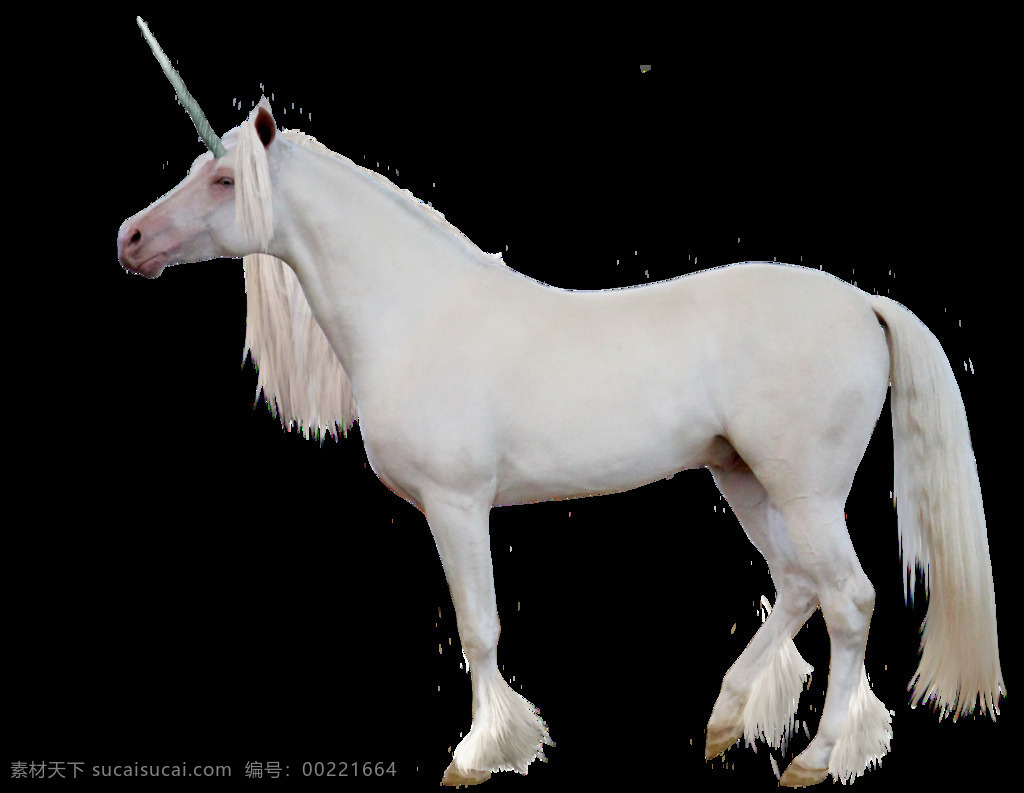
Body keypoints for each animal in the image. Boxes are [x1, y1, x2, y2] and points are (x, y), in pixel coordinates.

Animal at [117, 20, 1004, 786]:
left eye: (224, 180)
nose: (131, 240)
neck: (417, 312)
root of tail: (863, 304)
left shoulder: (457, 504)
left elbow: (478, 629)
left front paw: (479, 755)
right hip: (744, 478)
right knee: (796, 585)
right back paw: (723, 721)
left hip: (804, 490)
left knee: (848, 599)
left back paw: (814, 759)